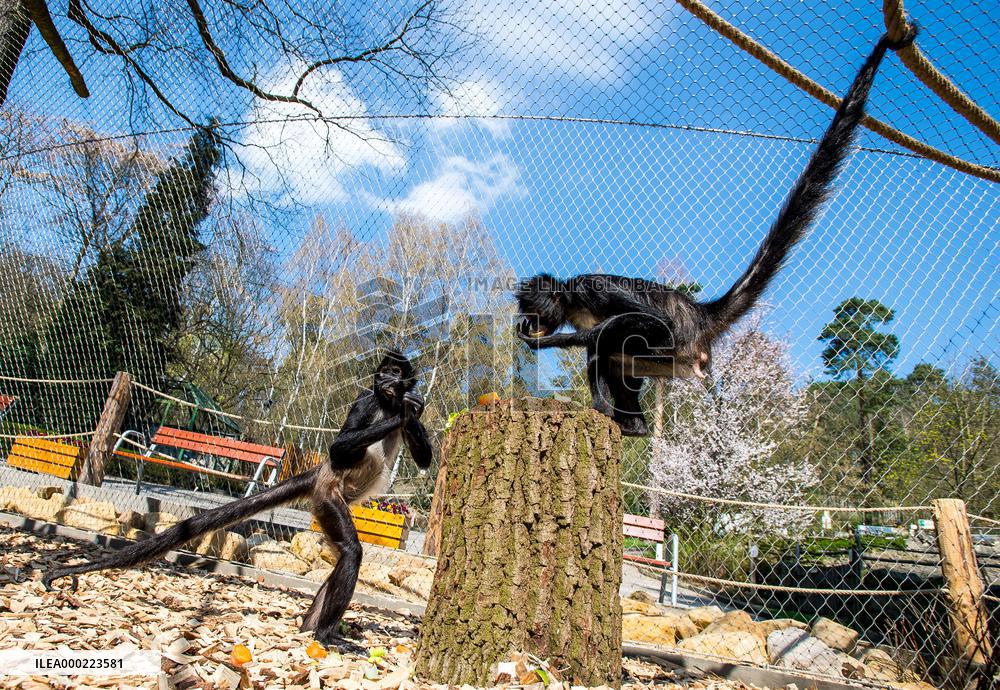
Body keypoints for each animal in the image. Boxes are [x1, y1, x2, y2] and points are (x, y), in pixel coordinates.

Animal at [42, 351, 433, 646]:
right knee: (351, 550)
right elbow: (340, 447)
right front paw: (405, 410)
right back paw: (323, 634)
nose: (386, 381)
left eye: (396, 373)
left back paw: (311, 628)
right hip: (328, 498)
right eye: (384, 373)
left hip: (324, 505)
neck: (384, 402)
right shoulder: (365, 401)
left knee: (341, 558)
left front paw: (412, 408)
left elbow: (426, 460)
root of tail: (320, 474)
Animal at [515, 30, 918, 437]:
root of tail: (699, 314)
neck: (572, 301)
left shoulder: (592, 289)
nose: (530, 321)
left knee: (609, 339)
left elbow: (631, 325)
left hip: (668, 348)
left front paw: (557, 340)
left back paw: (603, 403)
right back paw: (634, 427)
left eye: (532, 310)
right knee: (615, 357)